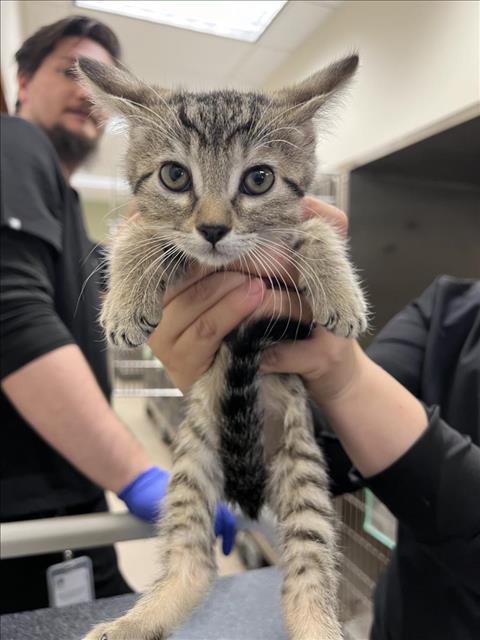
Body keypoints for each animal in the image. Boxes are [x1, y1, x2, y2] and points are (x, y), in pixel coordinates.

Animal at [79, 55, 368, 640]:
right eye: (174, 175)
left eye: (258, 179)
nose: (212, 228)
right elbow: (136, 231)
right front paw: (125, 298)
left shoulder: (296, 232)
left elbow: (314, 229)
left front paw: (341, 290)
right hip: (191, 462)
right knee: (193, 562)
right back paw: (139, 620)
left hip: (304, 470)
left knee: (308, 569)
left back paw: (317, 623)